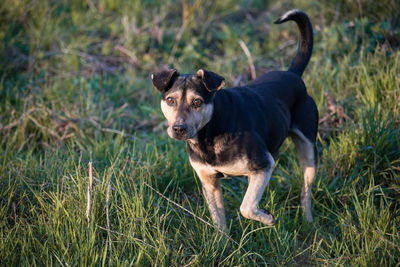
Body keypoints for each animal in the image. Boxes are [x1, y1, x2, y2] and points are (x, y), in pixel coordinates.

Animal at [152, 9, 318, 232]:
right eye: (170, 100)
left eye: (197, 102)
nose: (179, 128)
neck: (209, 134)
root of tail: (293, 74)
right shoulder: (210, 182)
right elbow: (219, 220)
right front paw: (223, 240)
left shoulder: (264, 164)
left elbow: (246, 207)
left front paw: (267, 218)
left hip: (308, 151)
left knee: (306, 191)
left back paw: (308, 221)